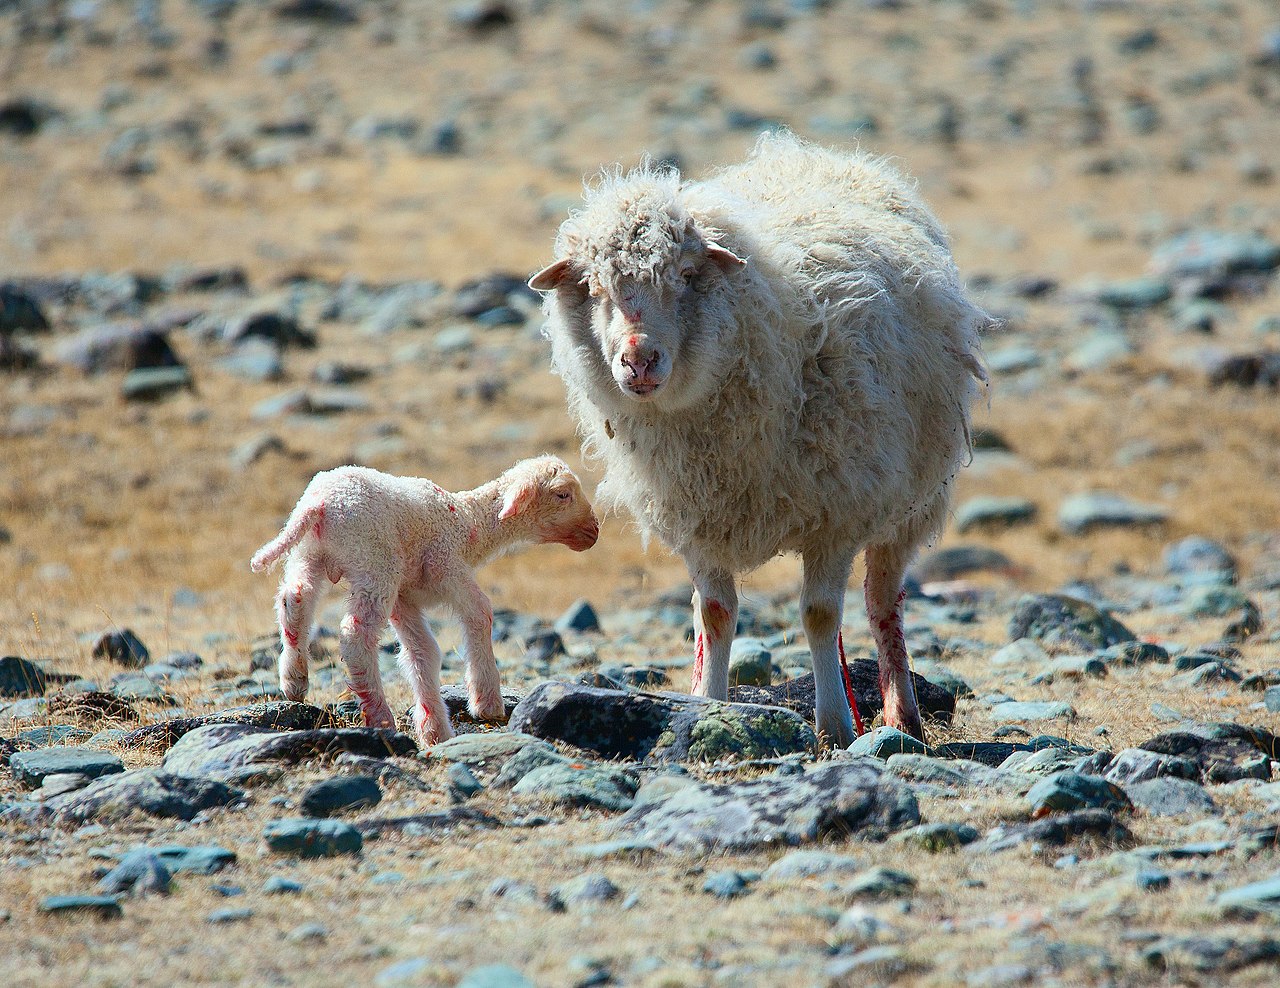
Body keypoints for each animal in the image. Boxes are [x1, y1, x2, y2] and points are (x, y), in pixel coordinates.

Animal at [250, 456, 599, 744]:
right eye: (563, 494)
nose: (594, 532)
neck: (468, 524)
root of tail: (319, 503)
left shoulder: (405, 598)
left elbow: (423, 651)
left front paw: (435, 730)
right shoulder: (447, 566)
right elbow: (481, 612)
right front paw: (486, 704)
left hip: (310, 554)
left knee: (294, 599)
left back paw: (294, 680)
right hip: (375, 562)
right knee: (354, 634)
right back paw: (378, 714)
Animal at [529, 132, 987, 746]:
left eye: (687, 275)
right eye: (593, 287)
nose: (639, 360)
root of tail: (811, 152)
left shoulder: (836, 514)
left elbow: (820, 615)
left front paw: (835, 725)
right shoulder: (698, 516)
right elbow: (714, 615)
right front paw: (706, 703)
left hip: (912, 499)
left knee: (882, 601)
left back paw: (901, 714)